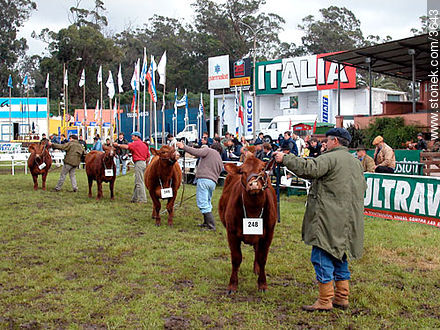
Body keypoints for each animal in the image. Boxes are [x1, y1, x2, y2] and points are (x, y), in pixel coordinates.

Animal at [219, 155, 276, 294]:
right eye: (242, 172)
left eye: (262, 169)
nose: (254, 184)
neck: (253, 210)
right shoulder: (231, 233)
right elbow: (236, 258)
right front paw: (232, 285)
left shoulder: (268, 234)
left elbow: (262, 258)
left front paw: (262, 284)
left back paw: (256, 269)